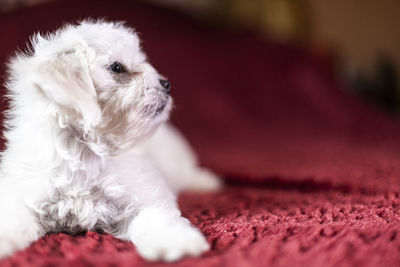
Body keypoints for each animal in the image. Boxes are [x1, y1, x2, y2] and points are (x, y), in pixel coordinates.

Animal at [0, 20, 220, 262]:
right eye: (117, 68)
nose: (167, 84)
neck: (84, 152)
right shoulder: (24, 193)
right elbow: (11, 218)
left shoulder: (145, 194)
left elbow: (156, 218)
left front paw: (177, 241)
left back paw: (206, 181)